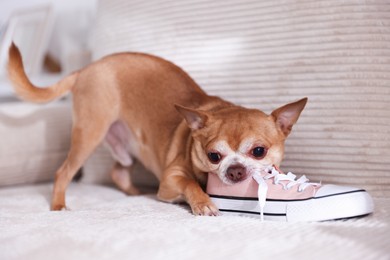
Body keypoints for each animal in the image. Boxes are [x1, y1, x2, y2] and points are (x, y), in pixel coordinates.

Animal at [6, 43, 308, 215]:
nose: (235, 170)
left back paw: (135, 192)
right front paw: (202, 202)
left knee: (118, 171)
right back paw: (58, 206)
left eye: (259, 151)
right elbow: (188, 183)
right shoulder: (170, 179)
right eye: (214, 156)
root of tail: (87, 68)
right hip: (90, 132)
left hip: (124, 145)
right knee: (63, 172)